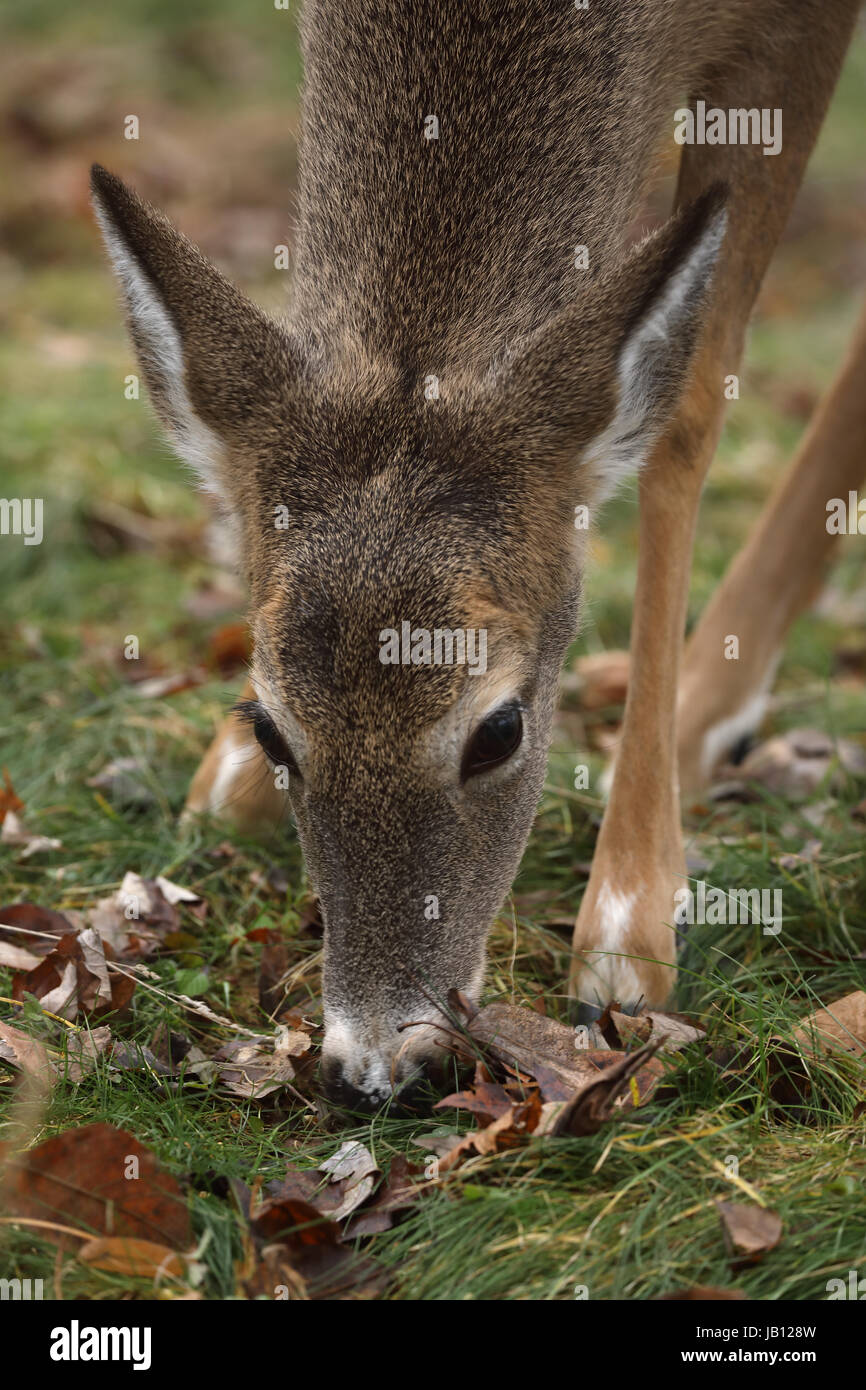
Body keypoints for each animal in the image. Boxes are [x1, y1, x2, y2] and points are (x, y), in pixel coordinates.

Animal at [91, 0, 865, 1111]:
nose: (375, 1068)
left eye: (498, 731)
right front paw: (227, 774)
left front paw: (627, 925)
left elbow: (686, 404)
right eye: (273, 726)